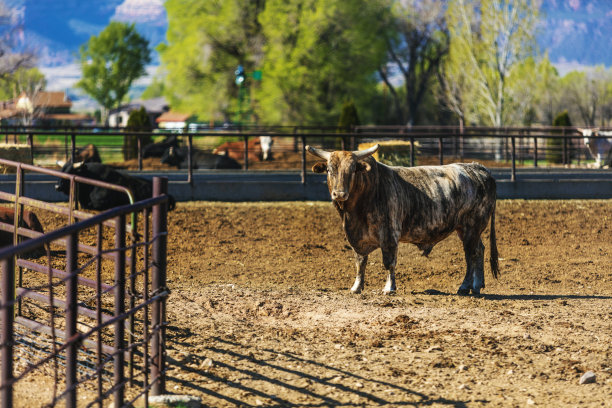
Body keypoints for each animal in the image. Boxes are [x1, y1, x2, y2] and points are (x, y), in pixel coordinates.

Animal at [308, 144, 500, 296]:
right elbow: (360, 262)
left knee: (470, 255)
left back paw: (465, 286)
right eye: (329, 170)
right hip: (467, 229)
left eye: (353, 170)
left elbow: (389, 262)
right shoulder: (357, 238)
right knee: (479, 250)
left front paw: (389, 288)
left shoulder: (389, 234)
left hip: (471, 227)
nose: (339, 194)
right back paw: (477, 285)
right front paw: (357, 287)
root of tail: (478, 168)